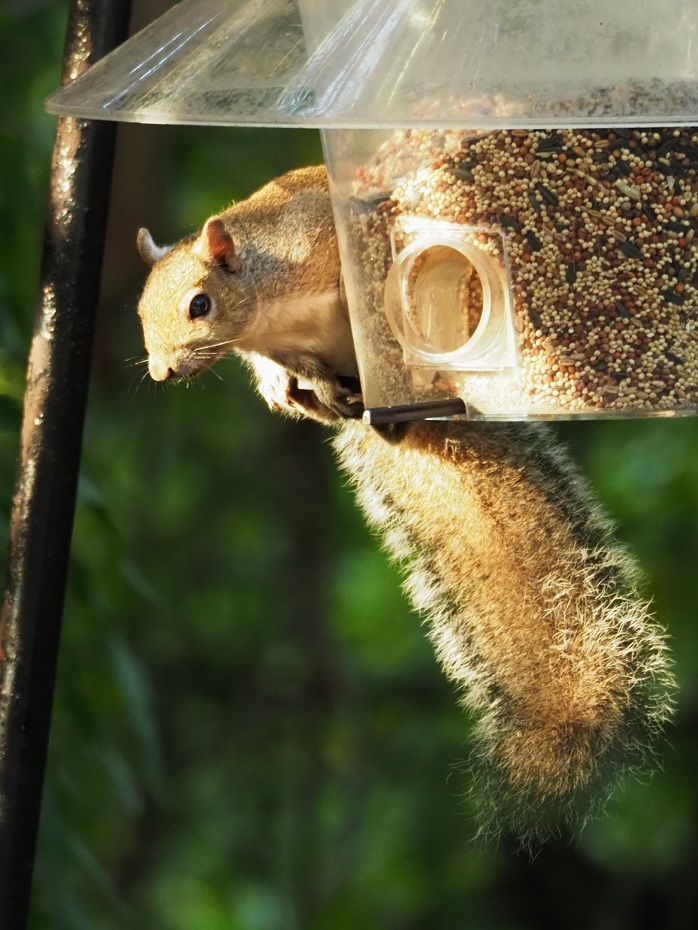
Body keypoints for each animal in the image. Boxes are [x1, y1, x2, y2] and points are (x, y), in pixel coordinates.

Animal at [136, 163, 676, 836]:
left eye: (199, 304)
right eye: (139, 311)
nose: (161, 371)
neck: (268, 306)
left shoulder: (320, 245)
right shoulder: (283, 347)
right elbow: (297, 367)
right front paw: (303, 386)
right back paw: (323, 400)